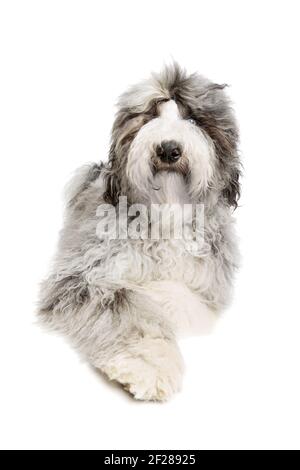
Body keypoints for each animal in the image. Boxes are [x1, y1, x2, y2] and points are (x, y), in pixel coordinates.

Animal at [38, 62, 241, 400]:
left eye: (192, 119)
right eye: (150, 117)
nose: (169, 149)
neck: (165, 215)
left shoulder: (211, 286)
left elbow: (183, 300)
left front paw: (156, 294)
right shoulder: (82, 277)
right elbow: (128, 309)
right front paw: (150, 365)